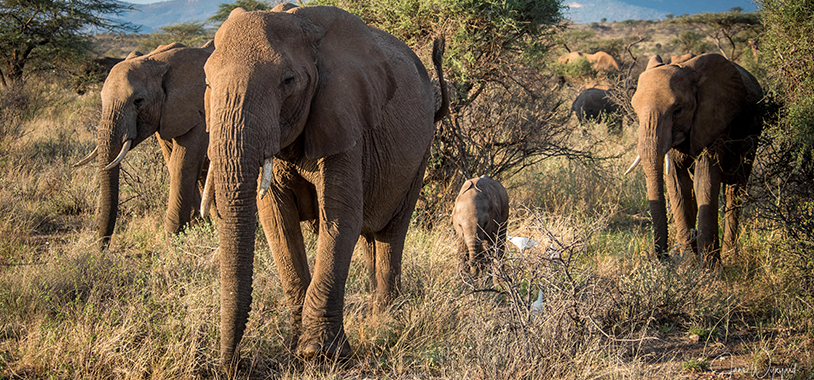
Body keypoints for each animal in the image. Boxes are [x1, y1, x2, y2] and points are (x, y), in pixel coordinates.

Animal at [74, 41, 214, 251]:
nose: (101, 250)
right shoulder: (166, 113)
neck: (157, 61)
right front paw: (195, 230)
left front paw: (173, 240)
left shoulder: (198, 111)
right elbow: (173, 162)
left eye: (138, 101)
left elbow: (183, 165)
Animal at [202, 5, 450, 368]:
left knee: (391, 232)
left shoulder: (346, 116)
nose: (231, 364)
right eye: (206, 82)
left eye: (288, 81)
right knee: (368, 236)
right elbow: (277, 221)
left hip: (421, 152)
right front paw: (295, 349)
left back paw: (385, 321)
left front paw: (319, 354)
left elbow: (340, 215)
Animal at [624, 53, 764, 268]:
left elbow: (705, 180)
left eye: (678, 110)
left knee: (735, 188)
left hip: (752, 136)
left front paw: (709, 268)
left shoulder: (713, 120)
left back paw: (730, 256)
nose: (664, 259)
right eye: (635, 111)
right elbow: (678, 184)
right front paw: (689, 265)